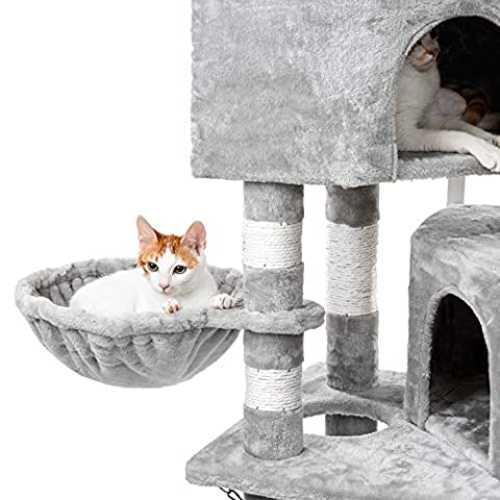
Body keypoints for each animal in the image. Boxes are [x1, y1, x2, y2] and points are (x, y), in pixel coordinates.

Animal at [70, 216, 239, 316]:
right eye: (152, 266)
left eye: (179, 269)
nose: (163, 285)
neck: (184, 296)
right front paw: (169, 305)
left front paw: (222, 298)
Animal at [397, 33, 500, 172]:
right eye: (417, 42)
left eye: (433, 34)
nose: (435, 51)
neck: (422, 78)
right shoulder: (405, 134)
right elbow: (457, 135)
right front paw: (491, 152)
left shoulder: (433, 118)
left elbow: (466, 127)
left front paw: (493, 138)